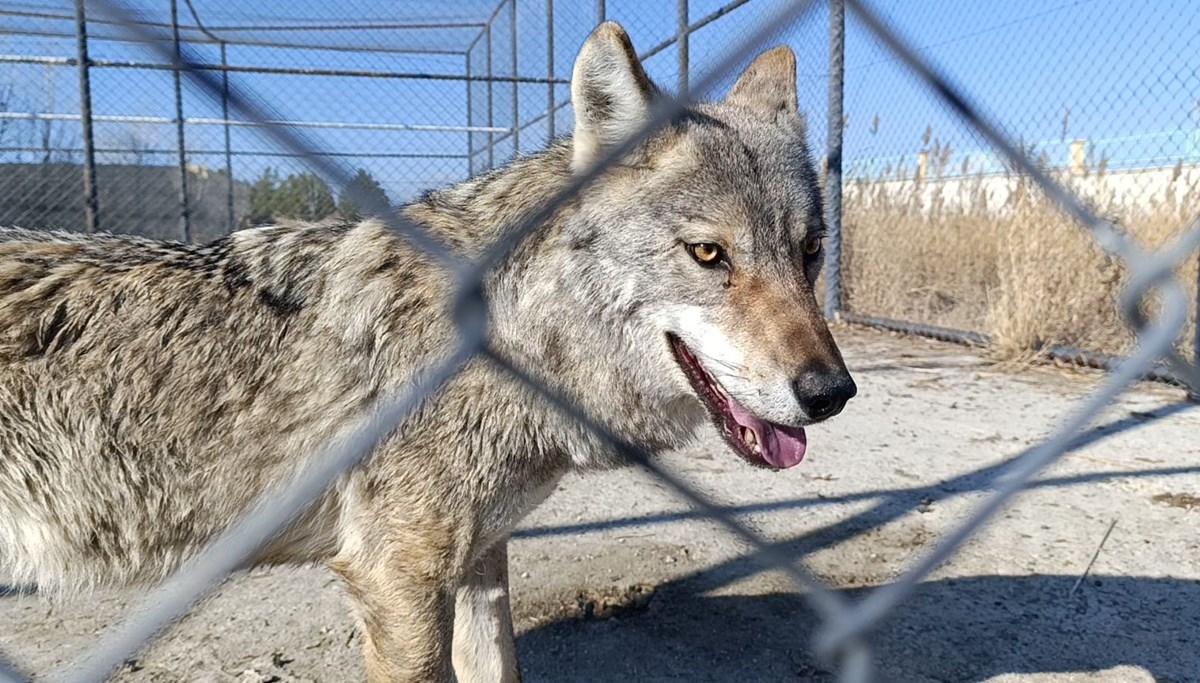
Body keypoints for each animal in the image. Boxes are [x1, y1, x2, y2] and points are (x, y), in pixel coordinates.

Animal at [0, 21, 854, 681]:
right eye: (709, 254)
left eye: (811, 251)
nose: (831, 392)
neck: (503, 336)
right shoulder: (396, 578)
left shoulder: (481, 558)